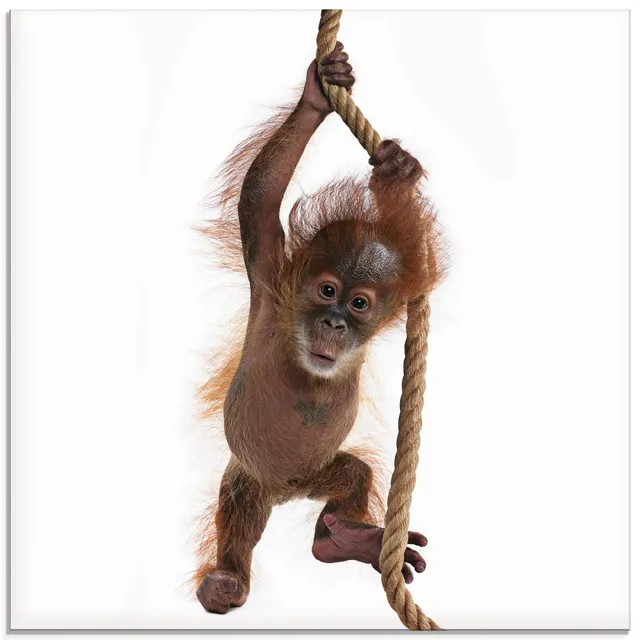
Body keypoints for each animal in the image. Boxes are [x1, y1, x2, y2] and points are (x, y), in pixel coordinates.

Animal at [194, 43, 446, 615]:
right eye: (327, 291)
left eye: (359, 304)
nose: (334, 322)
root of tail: (285, 491)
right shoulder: (269, 279)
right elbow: (259, 204)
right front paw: (316, 95)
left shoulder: (403, 287)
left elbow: (412, 251)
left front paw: (399, 172)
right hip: (253, 475)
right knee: (240, 506)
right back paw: (225, 582)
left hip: (318, 472)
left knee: (352, 474)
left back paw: (343, 541)